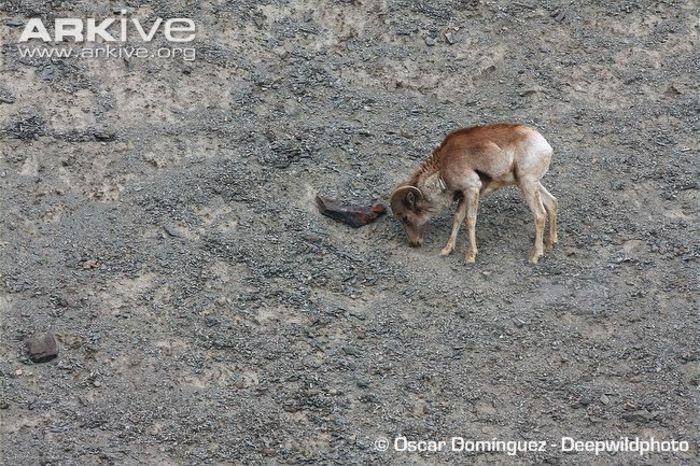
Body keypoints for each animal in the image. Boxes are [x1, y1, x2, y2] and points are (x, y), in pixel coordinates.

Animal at [388, 123, 556, 262]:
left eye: (405, 218)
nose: (413, 243)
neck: (443, 168)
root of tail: (546, 146)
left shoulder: (472, 189)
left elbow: (470, 220)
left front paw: (470, 256)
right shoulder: (464, 195)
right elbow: (457, 218)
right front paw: (447, 250)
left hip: (528, 184)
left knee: (540, 215)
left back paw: (535, 256)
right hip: (529, 184)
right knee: (552, 203)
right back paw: (551, 243)